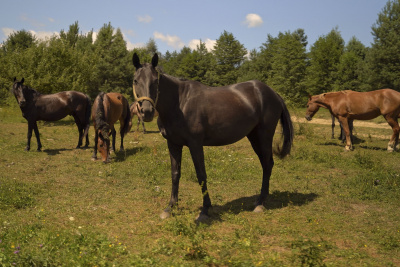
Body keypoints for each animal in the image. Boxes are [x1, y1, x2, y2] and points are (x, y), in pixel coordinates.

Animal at [133, 53, 292, 221]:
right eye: (135, 80)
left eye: (155, 81)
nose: (147, 111)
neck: (179, 103)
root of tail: (273, 93)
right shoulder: (173, 144)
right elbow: (175, 174)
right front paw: (170, 208)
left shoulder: (195, 144)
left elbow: (201, 175)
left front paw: (205, 210)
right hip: (254, 137)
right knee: (265, 164)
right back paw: (259, 200)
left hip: (264, 136)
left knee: (267, 165)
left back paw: (261, 203)